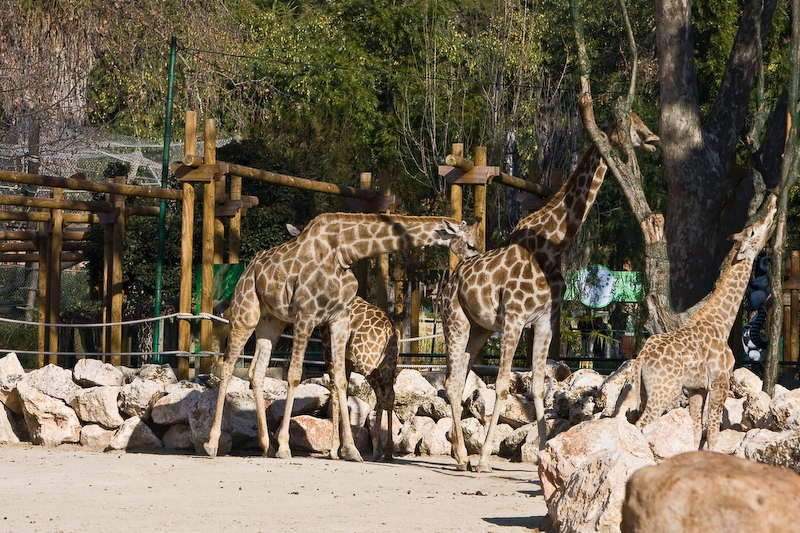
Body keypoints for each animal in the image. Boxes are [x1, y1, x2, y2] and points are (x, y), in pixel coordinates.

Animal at [320, 296, 400, 462]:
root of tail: (389, 329)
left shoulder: (328, 349)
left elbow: (335, 390)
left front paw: (335, 450)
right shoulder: (347, 358)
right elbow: (343, 391)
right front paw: (343, 449)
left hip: (367, 361)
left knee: (382, 394)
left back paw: (378, 449)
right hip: (389, 364)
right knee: (390, 395)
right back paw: (387, 452)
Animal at [441, 113, 659, 472]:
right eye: (628, 123)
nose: (653, 139)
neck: (552, 246)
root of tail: (449, 281)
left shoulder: (545, 320)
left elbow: (539, 387)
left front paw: (543, 453)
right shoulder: (515, 318)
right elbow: (503, 385)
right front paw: (485, 458)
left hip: (480, 328)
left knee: (458, 378)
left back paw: (460, 457)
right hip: (454, 320)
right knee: (450, 380)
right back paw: (463, 456)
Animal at [622, 193, 777, 451]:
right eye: (753, 231)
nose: (773, 202)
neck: (722, 323)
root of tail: (642, 357)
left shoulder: (697, 389)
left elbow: (696, 433)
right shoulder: (719, 383)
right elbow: (712, 434)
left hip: (643, 390)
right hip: (663, 390)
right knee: (640, 425)